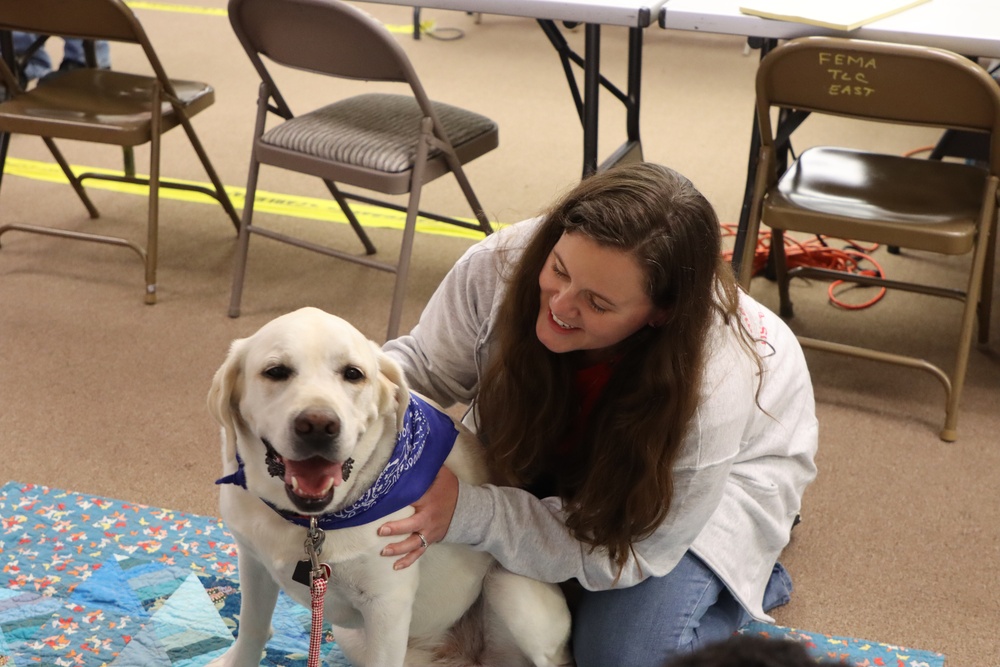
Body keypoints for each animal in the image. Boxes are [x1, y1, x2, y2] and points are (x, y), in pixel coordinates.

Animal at [205, 310, 572, 667]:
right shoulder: (253, 563)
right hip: (354, 638)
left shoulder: (387, 606)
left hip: (511, 590)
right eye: (276, 371)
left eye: (353, 374)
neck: (311, 522)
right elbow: (252, 630)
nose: (319, 426)